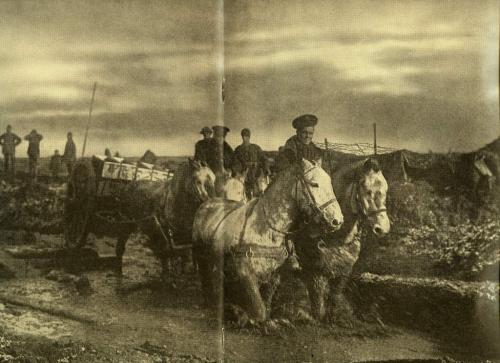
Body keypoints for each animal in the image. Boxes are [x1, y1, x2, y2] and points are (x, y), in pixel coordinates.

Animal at [191, 161, 344, 322]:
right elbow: (260, 312)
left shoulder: (273, 275)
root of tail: (206, 203)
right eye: (314, 184)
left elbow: (267, 305)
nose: (337, 221)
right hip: (201, 256)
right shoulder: (245, 274)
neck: (266, 228)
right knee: (206, 277)